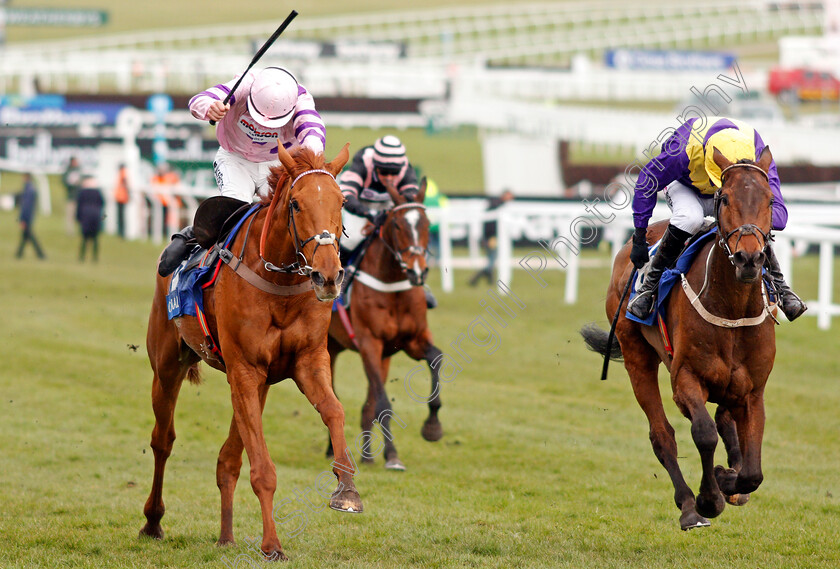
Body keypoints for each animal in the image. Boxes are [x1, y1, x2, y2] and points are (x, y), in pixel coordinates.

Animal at [139, 143, 362, 560]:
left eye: (341, 201)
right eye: (295, 204)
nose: (328, 275)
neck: (280, 284)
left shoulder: (306, 362)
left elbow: (335, 412)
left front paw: (347, 491)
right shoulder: (244, 369)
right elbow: (263, 470)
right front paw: (272, 544)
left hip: (256, 386)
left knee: (227, 459)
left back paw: (225, 536)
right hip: (167, 365)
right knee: (162, 441)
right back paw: (153, 521)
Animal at [326, 179, 446, 470]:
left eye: (426, 223)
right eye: (397, 225)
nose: (417, 271)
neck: (393, 285)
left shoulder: (410, 341)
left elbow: (436, 359)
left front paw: (432, 427)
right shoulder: (369, 342)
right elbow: (382, 404)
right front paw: (392, 456)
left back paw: (366, 454)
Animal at [580, 146, 776, 528]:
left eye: (770, 200)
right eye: (725, 198)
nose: (748, 258)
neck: (732, 310)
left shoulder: (753, 391)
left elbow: (753, 472)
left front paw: (729, 480)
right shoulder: (685, 377)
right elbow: (703, 433)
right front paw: (710, 497)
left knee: (723, 418)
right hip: (637, 355)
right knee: (662, 435)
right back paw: (688, 505)